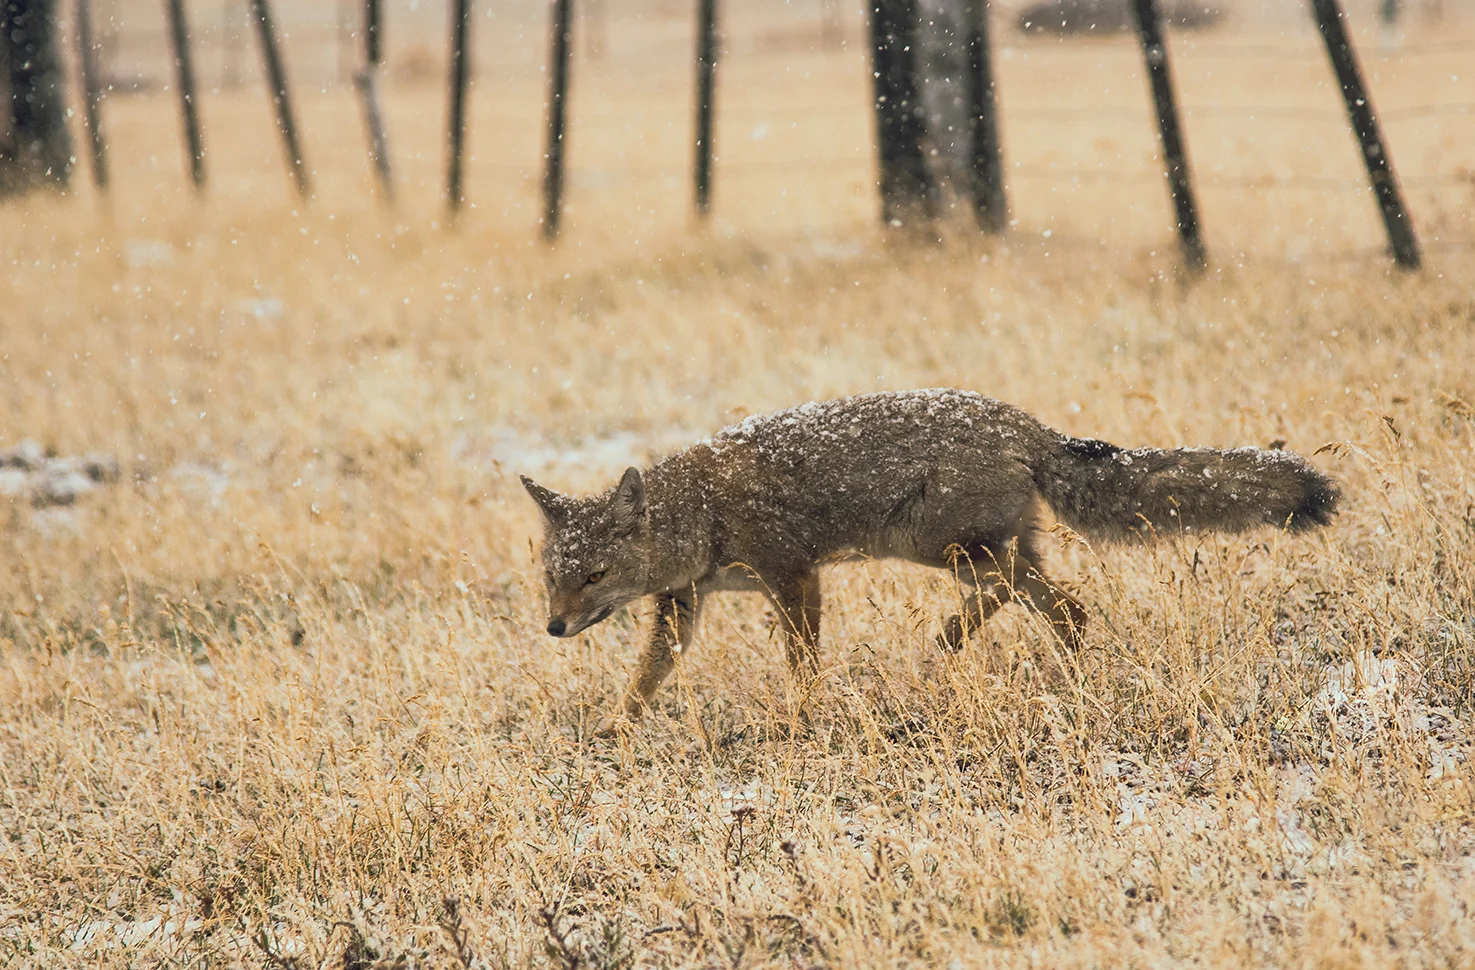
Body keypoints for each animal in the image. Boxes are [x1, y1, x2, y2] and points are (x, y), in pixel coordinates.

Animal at [520, 389, 1338, 727]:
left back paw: (947, 645)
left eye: (594, 577)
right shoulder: (683, 606)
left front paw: (801, 720)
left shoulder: (794, 579)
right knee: (1068, 607)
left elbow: (803, 667)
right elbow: (645, 679)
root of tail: (1031, 426)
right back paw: (1056, 671)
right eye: (554, 580)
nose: (553, 629)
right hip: (978, 552)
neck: (701, 514)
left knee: (1013, 590)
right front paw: (614, 730)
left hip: (933, 547)